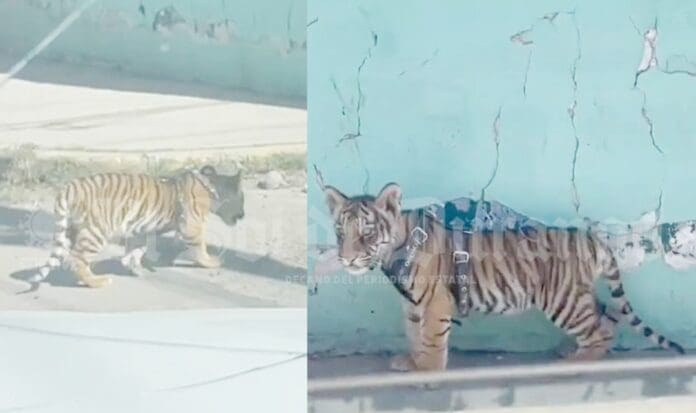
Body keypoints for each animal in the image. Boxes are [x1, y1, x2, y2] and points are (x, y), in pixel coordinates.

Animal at [28, 165, 244, 288]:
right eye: (241, 199)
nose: (243, 215)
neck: (212, 189)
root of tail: (69, 187)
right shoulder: (193, 226)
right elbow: (200, 247)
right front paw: (210, 262)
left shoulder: (139, 229)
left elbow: (137, 249)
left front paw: (134, 266)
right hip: (95, 233)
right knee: (77, 260)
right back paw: (98, 282)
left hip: (71, 230)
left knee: (69, 258)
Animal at [324, 182, 685, 371]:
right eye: (341, 230)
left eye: (367, 232)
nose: (347, 258)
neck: (394, 251)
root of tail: (589, 237)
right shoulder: (413, 305)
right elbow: (415, 334)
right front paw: (412, 362)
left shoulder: (436, 301)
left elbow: (432, 337)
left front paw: (428, 371)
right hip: (578, 296)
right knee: (607, 318)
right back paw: (570, 352)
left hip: (563, 300)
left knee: (600, 332)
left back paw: (577, 361)